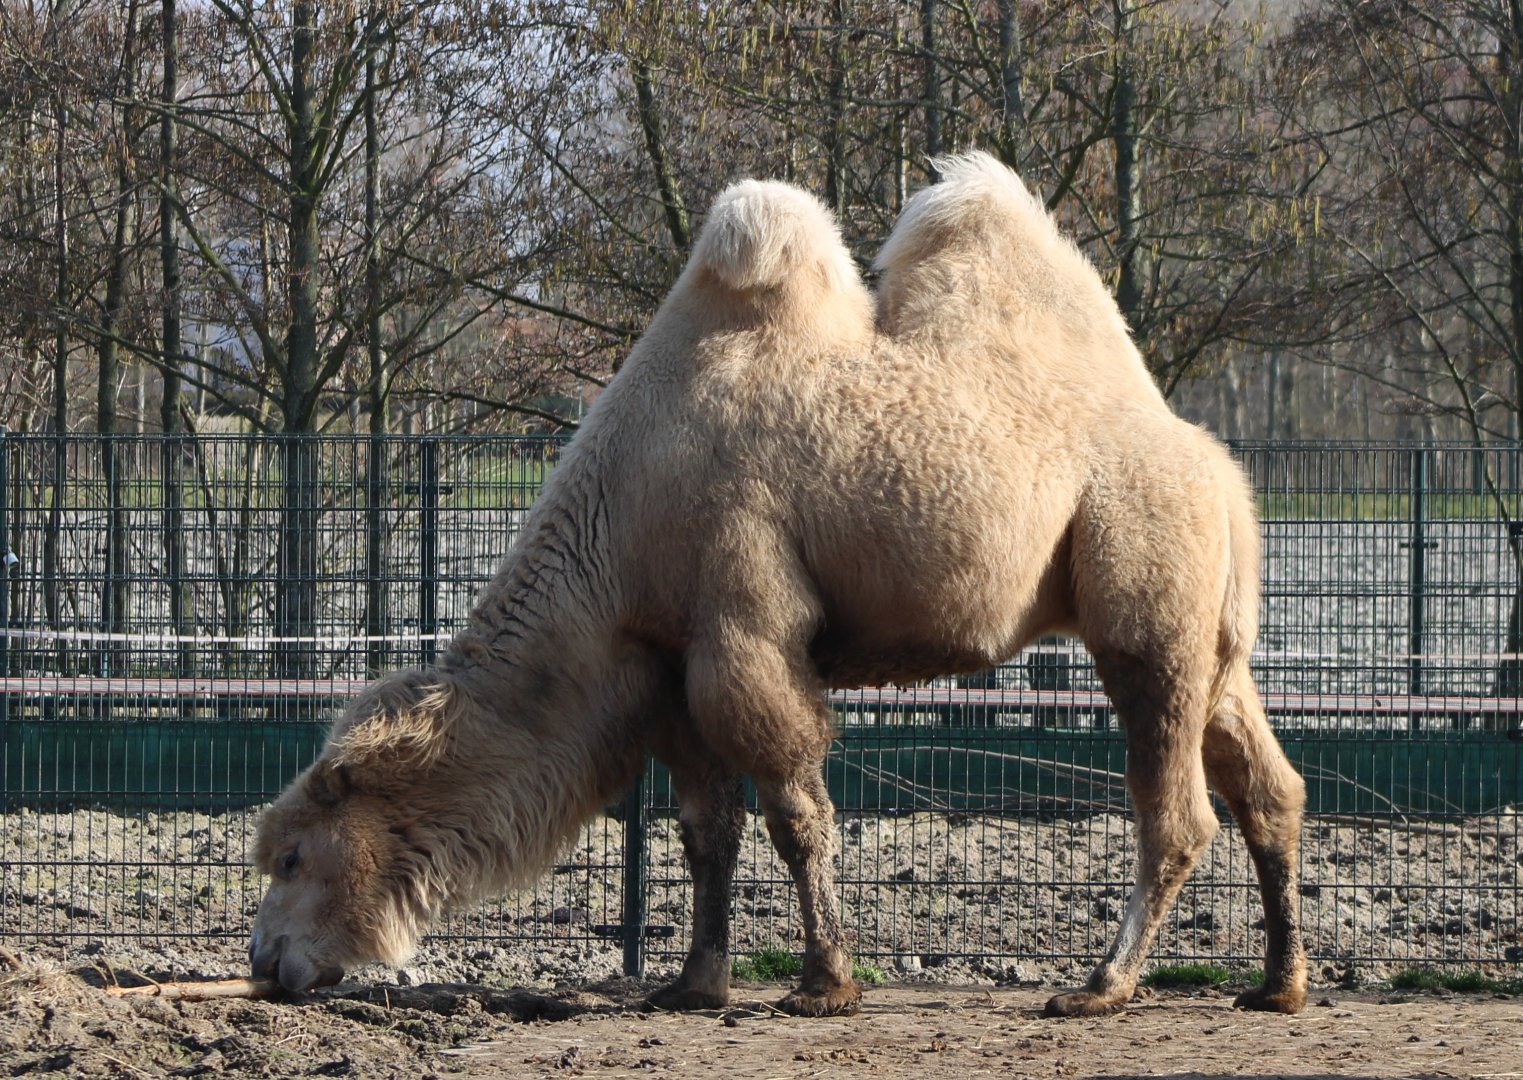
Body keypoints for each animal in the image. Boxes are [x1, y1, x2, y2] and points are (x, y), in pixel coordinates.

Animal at [249, 153, 1308, 1019]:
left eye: (294, 854)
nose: (265, 962)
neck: (613, 531)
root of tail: (1220, 469)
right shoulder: (672, 664)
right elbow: (703, 831)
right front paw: (692, 983)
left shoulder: (741, 628)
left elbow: (796, 816)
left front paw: (822, 982)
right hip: (1212, 632)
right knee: (1267, 784)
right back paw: (1277, 983)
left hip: (1141, 590)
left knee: (1175, 808)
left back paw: (1101, 986)